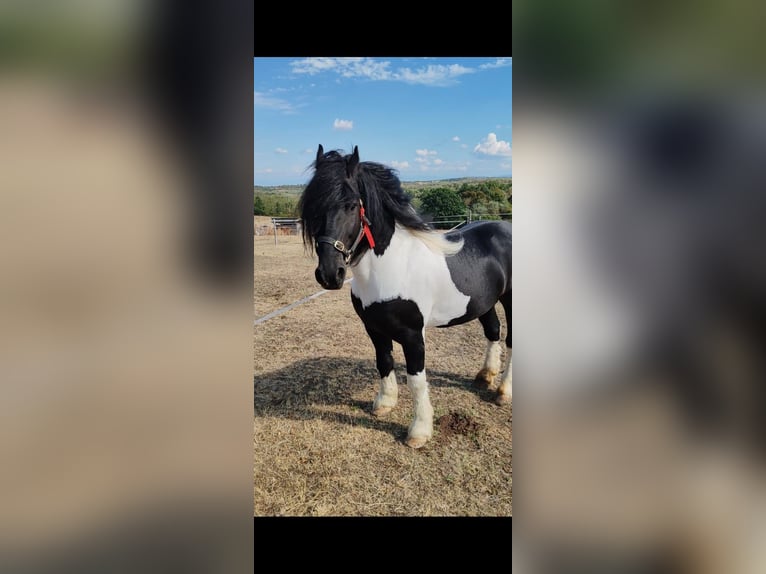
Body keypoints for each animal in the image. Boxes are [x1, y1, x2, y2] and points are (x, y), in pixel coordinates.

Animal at [298, 145, 512, 448]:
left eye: (351, 205)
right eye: (313, 207)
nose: (330, 274)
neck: (391, 266)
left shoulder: (413, 335)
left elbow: (416, 379)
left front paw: (419, 431)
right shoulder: (374, 328)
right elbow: (384, 362)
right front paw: (384, 403)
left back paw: (504, 392)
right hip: (484, 302)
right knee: (493, 331)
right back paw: (485, 377)